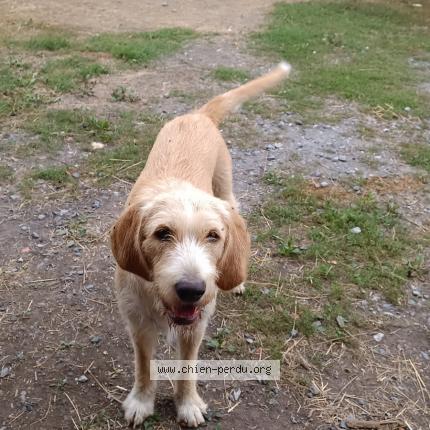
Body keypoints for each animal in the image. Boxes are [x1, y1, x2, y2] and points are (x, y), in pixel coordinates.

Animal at [110, 62, 291, 428]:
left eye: (213, 236)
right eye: (162, 233)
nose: (192, 289)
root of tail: (198, 115)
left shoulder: (197, 325)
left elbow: (187, 368)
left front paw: (188, 403)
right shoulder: (137, 323)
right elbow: (144, 366)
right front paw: (141, 401)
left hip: (225, 188)